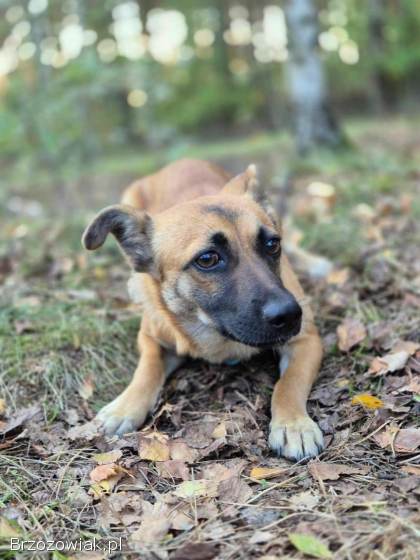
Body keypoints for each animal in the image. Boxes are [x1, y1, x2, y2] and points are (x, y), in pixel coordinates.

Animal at [83, 158, 324, 460]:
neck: (212, 332)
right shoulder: (151, 336)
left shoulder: (306, 339)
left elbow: (289, 383)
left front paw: (294, 424)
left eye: (272, 244)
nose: (290, 314)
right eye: (208, 259)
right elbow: (146, 369)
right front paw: (123, 407)